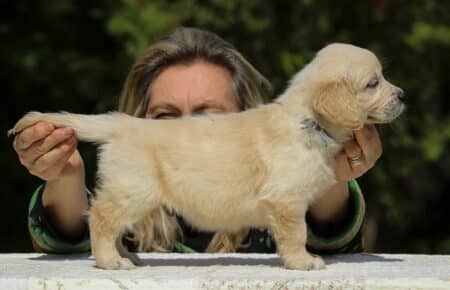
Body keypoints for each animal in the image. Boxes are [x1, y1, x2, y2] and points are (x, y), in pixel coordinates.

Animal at [9, 43, 404, 270]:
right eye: (373, 83)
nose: (403, 96)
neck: (308, 121)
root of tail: (121, 124)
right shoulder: (286, 201)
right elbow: (296, 233)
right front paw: (303, 262)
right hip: (132, 190)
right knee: (101, 219)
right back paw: (111, 262)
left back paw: (126, 256)